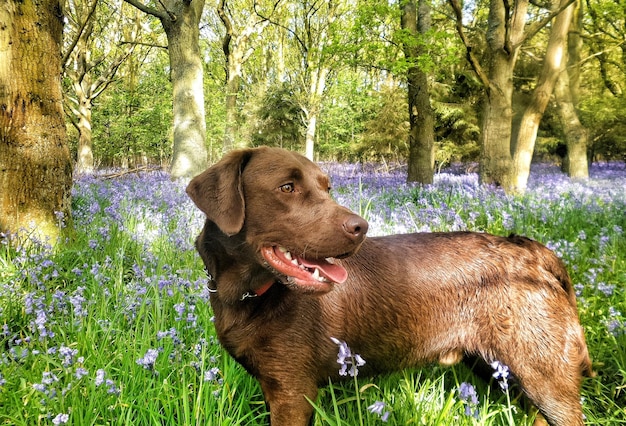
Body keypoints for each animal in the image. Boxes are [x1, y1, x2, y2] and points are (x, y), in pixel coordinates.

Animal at [185, 147, 588, 426]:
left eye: (327, 188)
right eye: (287, 187)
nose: (360, 226)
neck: (248, 294)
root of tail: (533, 251)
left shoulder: (293, 392)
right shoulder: (277, 389)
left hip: (543, 376)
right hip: (498, 370)